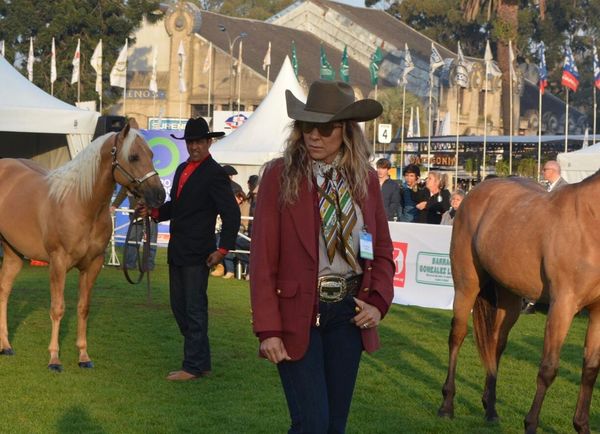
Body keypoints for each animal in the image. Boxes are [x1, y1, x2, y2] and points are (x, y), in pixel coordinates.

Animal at [0, 120, 164, 372]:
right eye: (134, 156)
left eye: (152, 154)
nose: (159, 195)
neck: (80, 203)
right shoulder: (58, 263)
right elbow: (58, 308)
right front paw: (54, 359)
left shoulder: (93, 265)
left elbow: (83, 308)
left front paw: (84, 356)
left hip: (14, 254)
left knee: (4, 291)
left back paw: (6, 345)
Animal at [438, 176, 600, 434]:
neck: (591, 221)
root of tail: (478, 189)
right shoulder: (562, 306)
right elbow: (548, 368)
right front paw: (531, 424)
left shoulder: (597, 313)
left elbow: (591, 369)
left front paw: (581, 425)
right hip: (466, 286)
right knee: (457, 336)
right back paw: (446, 405)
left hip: (510, 299)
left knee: (496, 344)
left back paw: (491, 409)